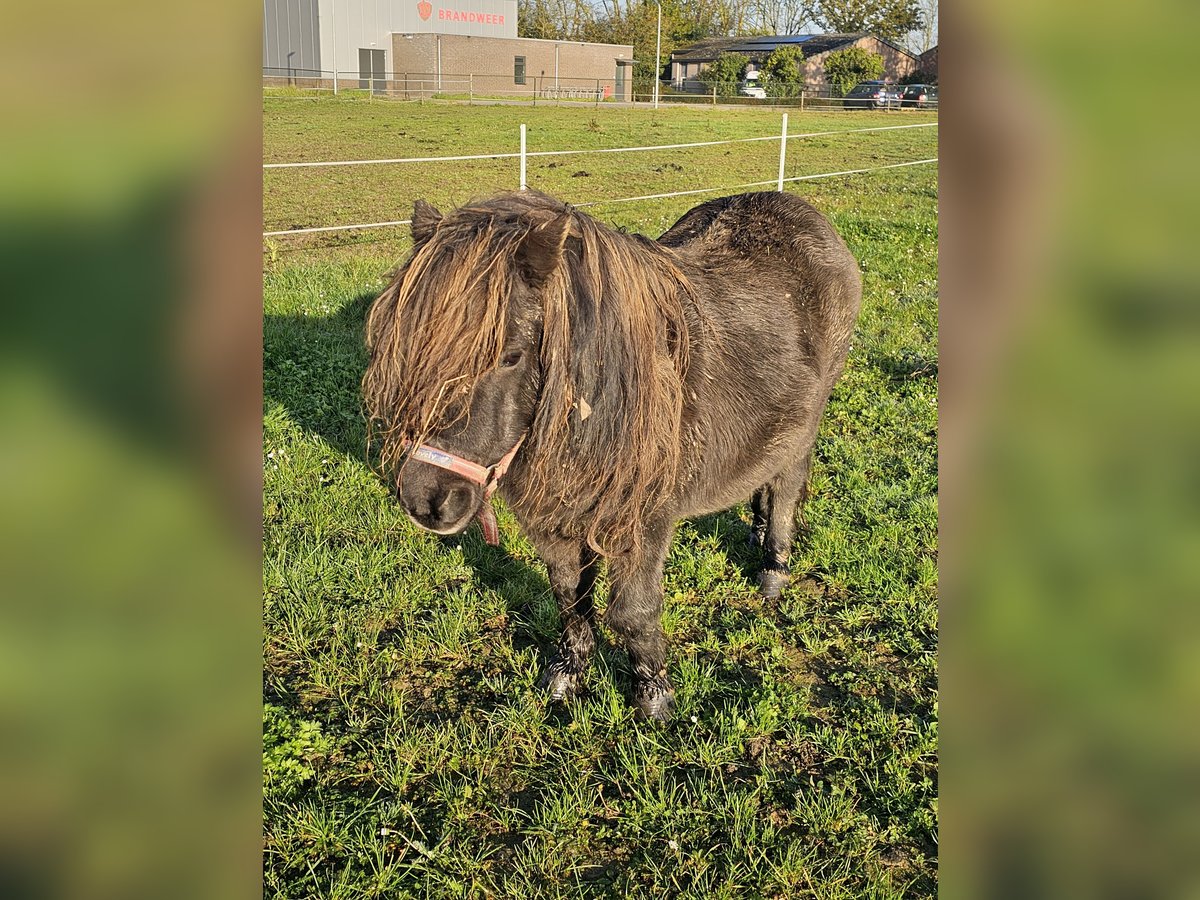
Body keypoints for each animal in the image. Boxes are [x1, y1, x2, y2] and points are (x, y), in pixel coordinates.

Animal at [360, 192, 859, 724]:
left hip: (805, 427)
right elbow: (569, 597)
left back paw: (773, 570)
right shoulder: (554, 522)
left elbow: (633, 611)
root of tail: (801, 209)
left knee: (787, 485)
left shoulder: (642, 523)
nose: (426, 500)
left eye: (511, 355)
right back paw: (757, 533)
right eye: (409, 349)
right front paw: (566, 677)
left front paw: (653, 699)